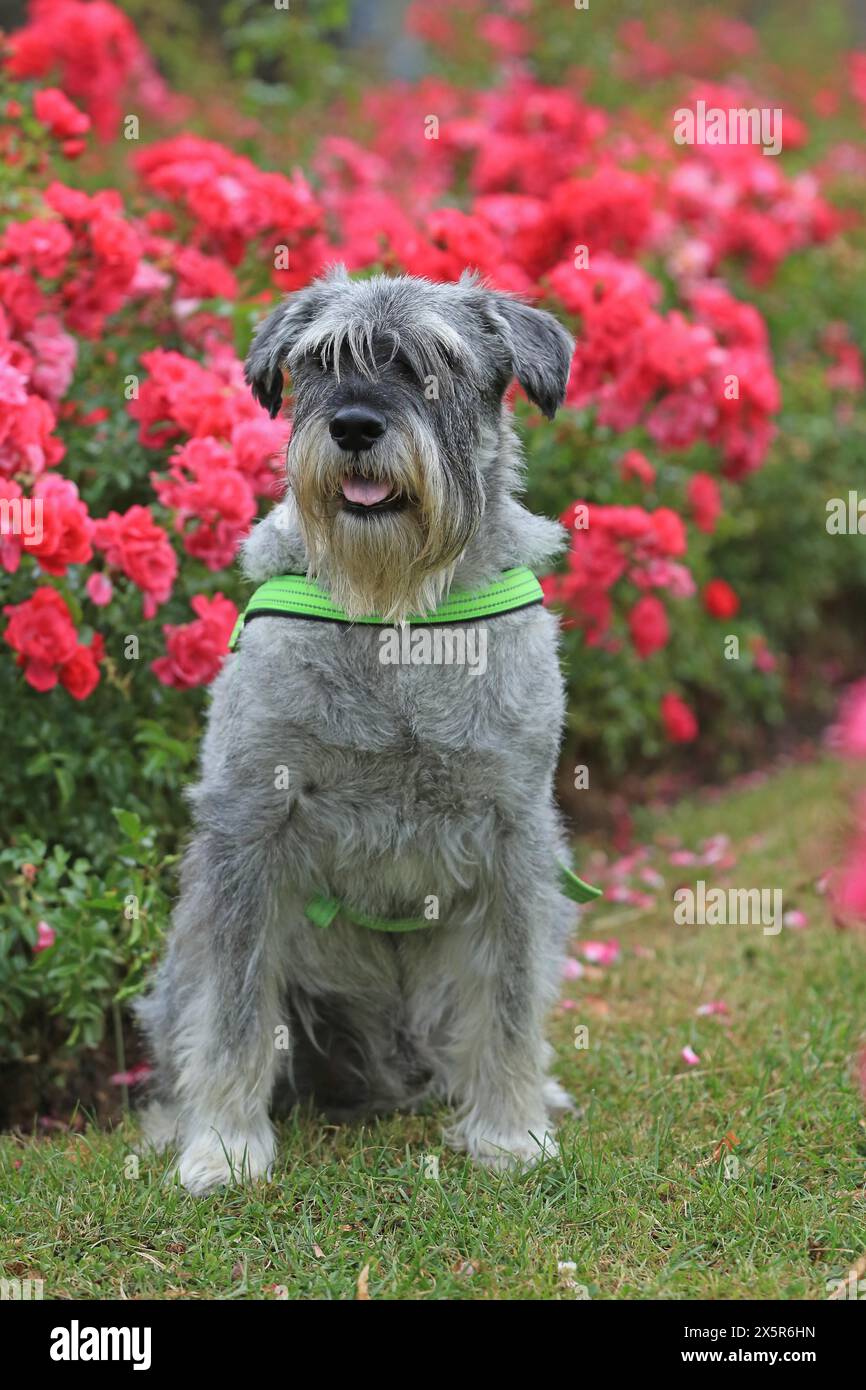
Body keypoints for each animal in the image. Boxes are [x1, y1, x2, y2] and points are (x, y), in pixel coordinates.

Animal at [136, 268, 583, 1195]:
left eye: (437, 365)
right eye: (320, 362)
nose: (354, 426)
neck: (396, 615)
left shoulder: (517, 836)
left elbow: (511, 996)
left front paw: (511, 1131)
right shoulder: (247, 825)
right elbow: (231, 1009)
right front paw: (223, 1148)